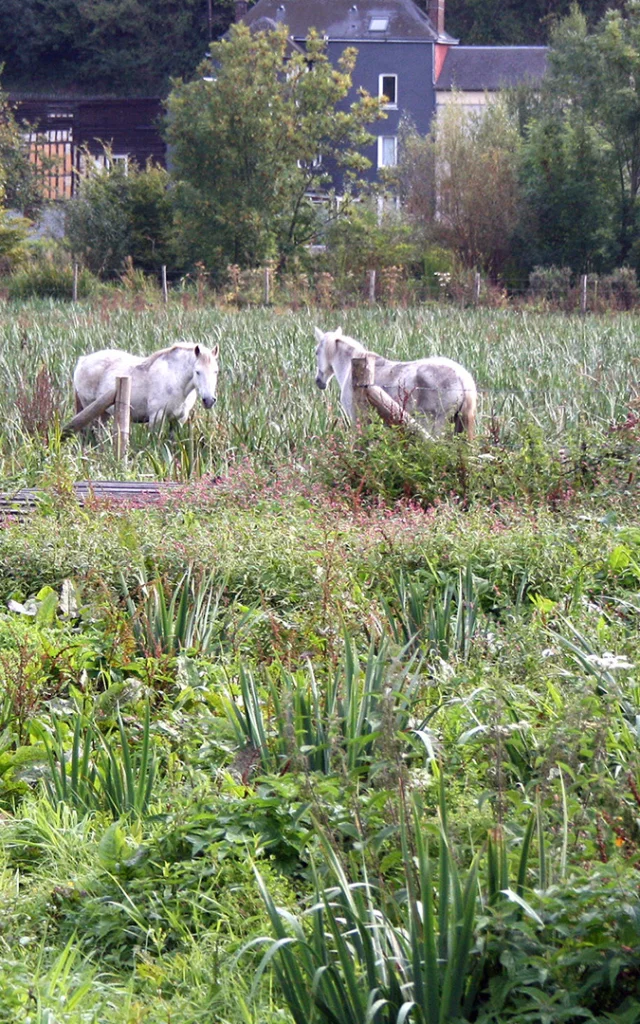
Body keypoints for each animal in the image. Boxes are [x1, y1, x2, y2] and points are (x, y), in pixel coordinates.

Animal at [72, 342, 219, 425]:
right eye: (197, 372)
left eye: (216, 371)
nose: (209, 400)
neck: (175, 380)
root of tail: (83, 360)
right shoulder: (156, 417)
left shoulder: (179, 420)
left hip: (104, 412)